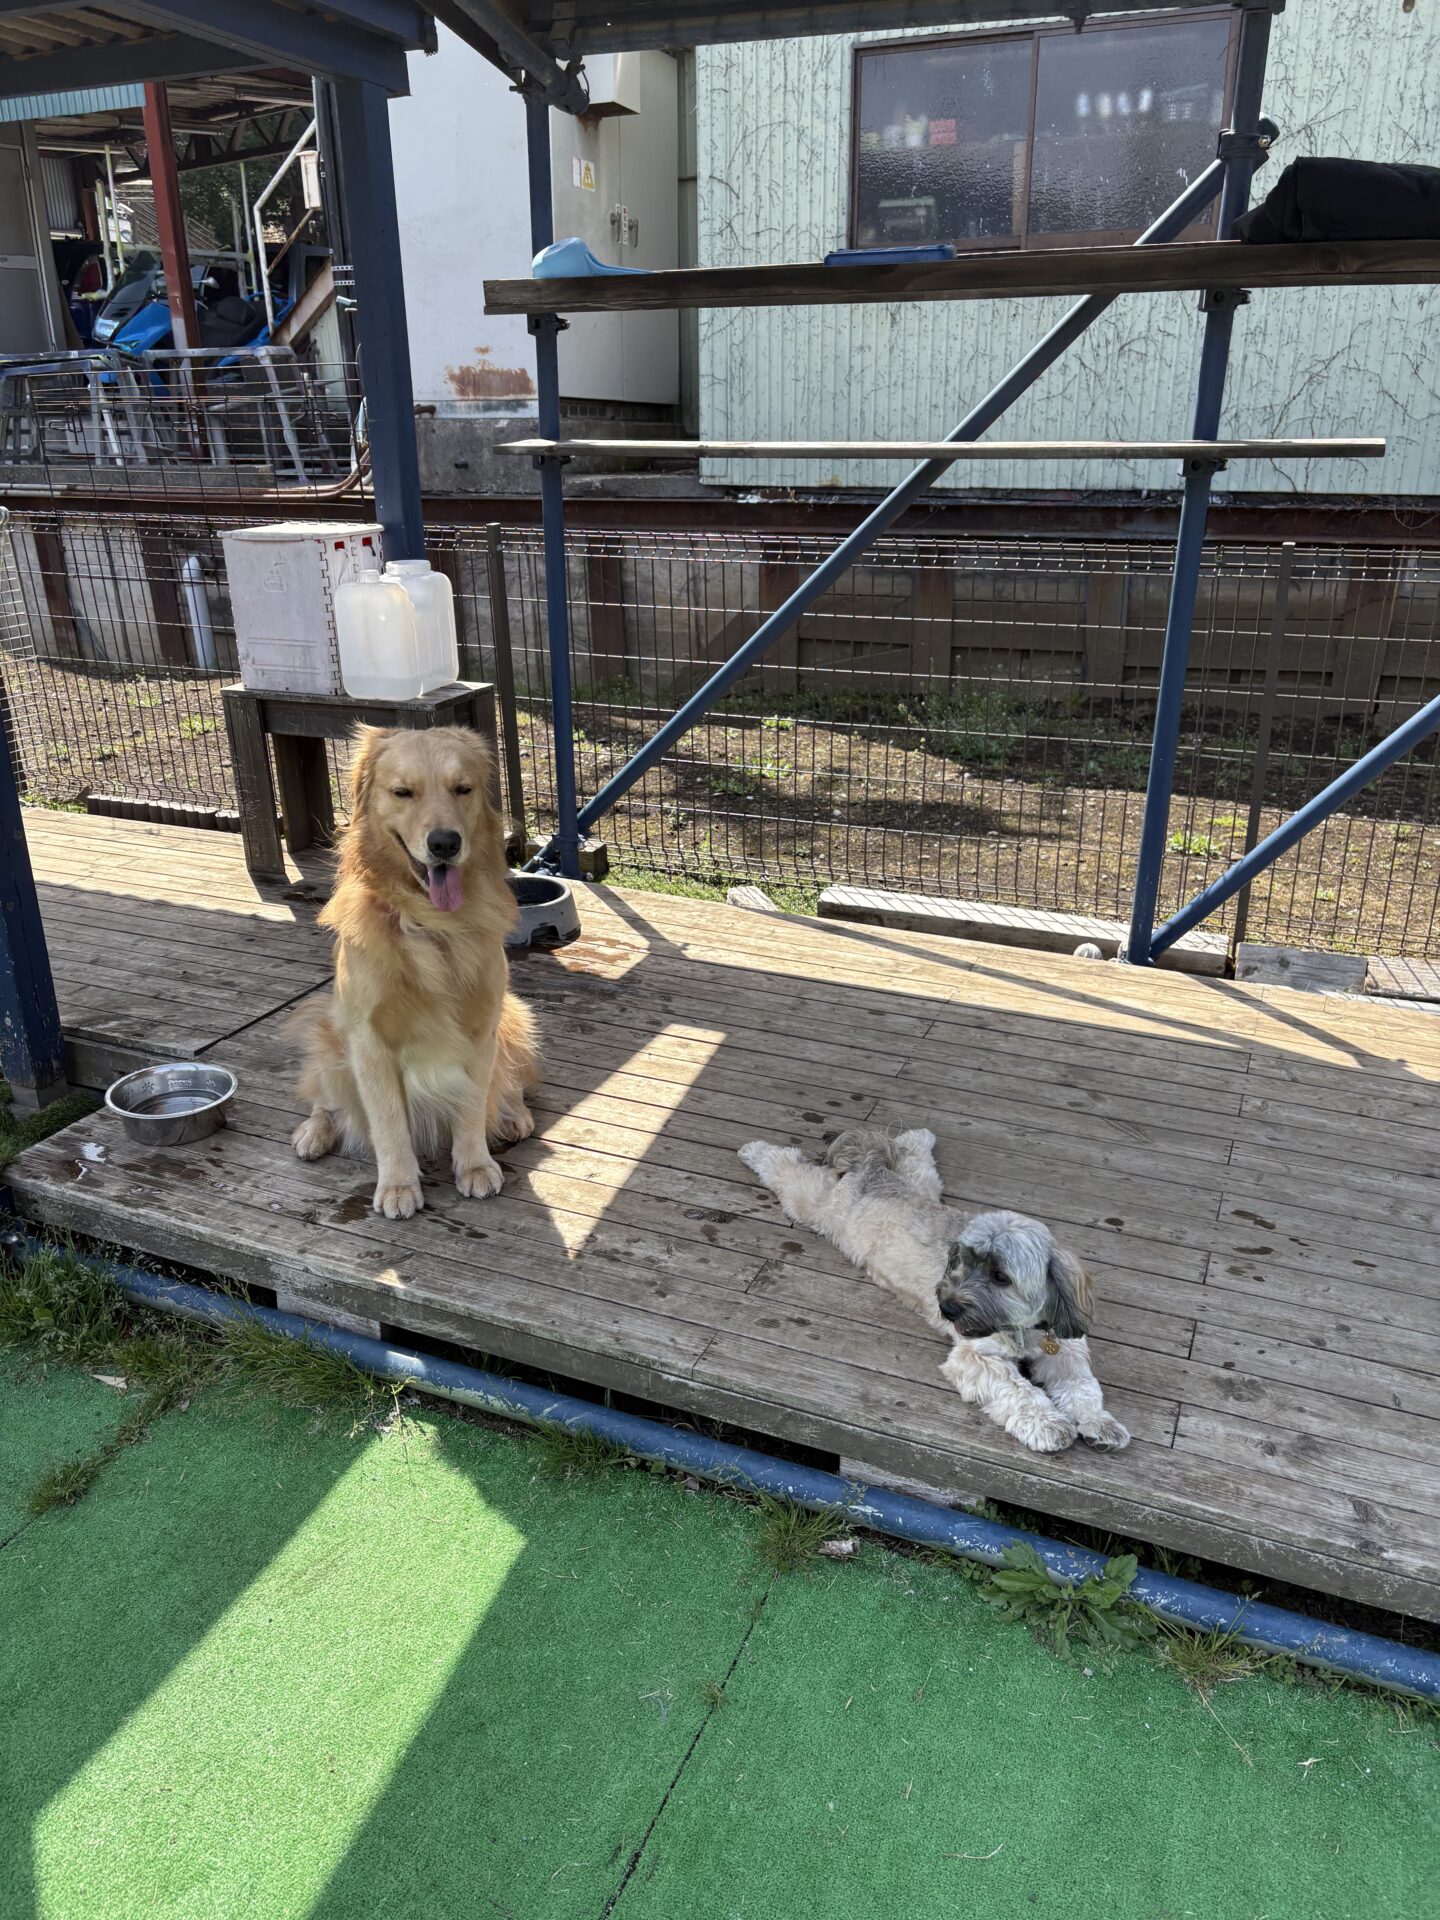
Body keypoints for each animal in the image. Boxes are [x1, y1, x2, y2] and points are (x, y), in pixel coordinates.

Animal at [291, 724, 539, 1219]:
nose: (445, 843)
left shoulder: (483, 1025)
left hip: (517, 1019)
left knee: (509, 1083)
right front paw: (398, 1185)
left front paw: (474, 1164)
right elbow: (387, 1121)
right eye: (403, 792)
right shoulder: (368, 1040)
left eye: (462, 789)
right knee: (325, 1100)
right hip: (326, 1035)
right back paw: (314, 1132)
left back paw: (513, 1114)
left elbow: (472, 1101)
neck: (429, 923)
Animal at [737, 1127, 1129, 1455]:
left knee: (913, 1156)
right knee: (788, 1169)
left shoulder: (1066, 1350)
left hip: (923, 1182)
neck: (1024, 1329)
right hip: (813, 1202)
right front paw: (1049, 1424)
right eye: (961, 1262)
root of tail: (871, 1169)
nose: (948, 1308)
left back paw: (920, 1137)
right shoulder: (974, 1358)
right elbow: (1018, 1389)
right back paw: (754, 1150)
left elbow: (1082, 1386)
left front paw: (1100, 1422)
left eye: (1001, 1276)